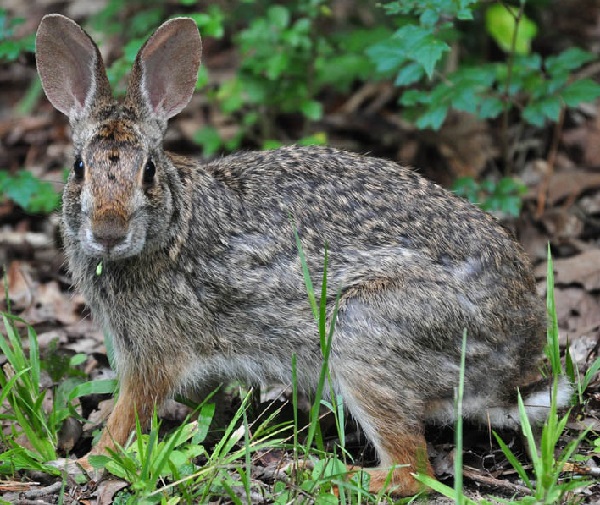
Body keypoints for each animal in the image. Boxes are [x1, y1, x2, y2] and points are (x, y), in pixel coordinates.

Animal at [37, 13, 572, 494]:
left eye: (148, 171)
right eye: (78, 168)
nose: (108, 231)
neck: (169, 227)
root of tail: (513, 362)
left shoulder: (155, 351)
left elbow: (131, 412)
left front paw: (84, 462)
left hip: (364, 333)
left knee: (411, 472)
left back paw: (320, 473)